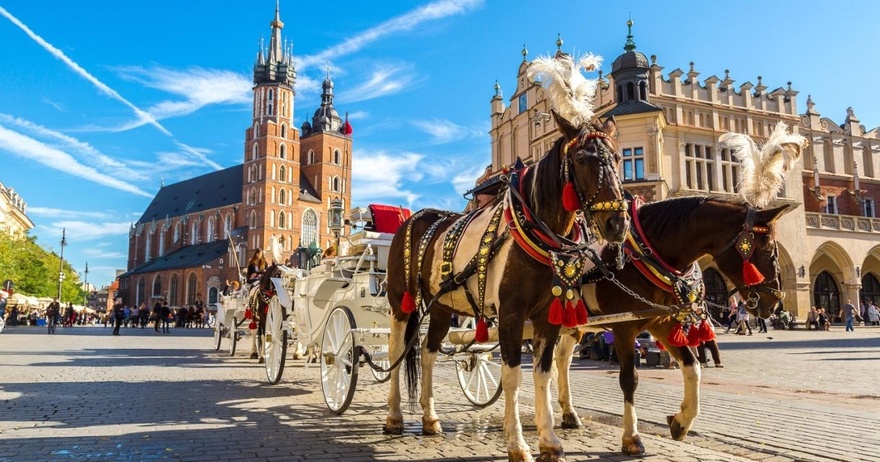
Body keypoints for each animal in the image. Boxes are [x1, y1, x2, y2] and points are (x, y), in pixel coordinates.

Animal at [386, 113, 632, 462]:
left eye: (617, 158)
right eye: (581, 159)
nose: (617, 224)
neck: (535, 232)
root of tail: (412, 218)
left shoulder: (548, 317)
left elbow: (542, 374)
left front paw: (549, 441)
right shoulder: (511, 315)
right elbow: (513, 376)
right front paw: (517, 444)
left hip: (442, 307)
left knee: (427, 353)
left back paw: (430, 418)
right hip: (400, 301)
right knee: (396, 350)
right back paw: (394, 416)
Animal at [564, 195, 792, 454]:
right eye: (767, 249)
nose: (775, 301)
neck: (643, 255)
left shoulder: (661, 322)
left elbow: (693, 367)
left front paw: (681, 421)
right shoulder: (624, 328)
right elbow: (629, 379)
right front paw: (632, 437)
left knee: (561, 361)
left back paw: (568, 414)